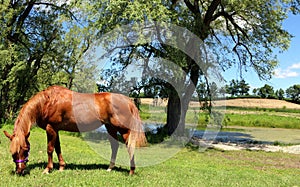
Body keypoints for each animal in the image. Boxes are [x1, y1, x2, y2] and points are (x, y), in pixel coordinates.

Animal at [3, 85, 146, 175]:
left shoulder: (50, 128)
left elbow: (50, 149)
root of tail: (128, 100)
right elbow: (58, 148)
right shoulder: (56, 129)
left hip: (124, 130)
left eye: (25, 149)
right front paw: (61, 167)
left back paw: (131, 171)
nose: (19, 170)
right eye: (13, 152)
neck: (47, 102)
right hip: (110, 127)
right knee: (115, 146)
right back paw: (110, 168)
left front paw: (48, 169)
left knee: (129, 147)